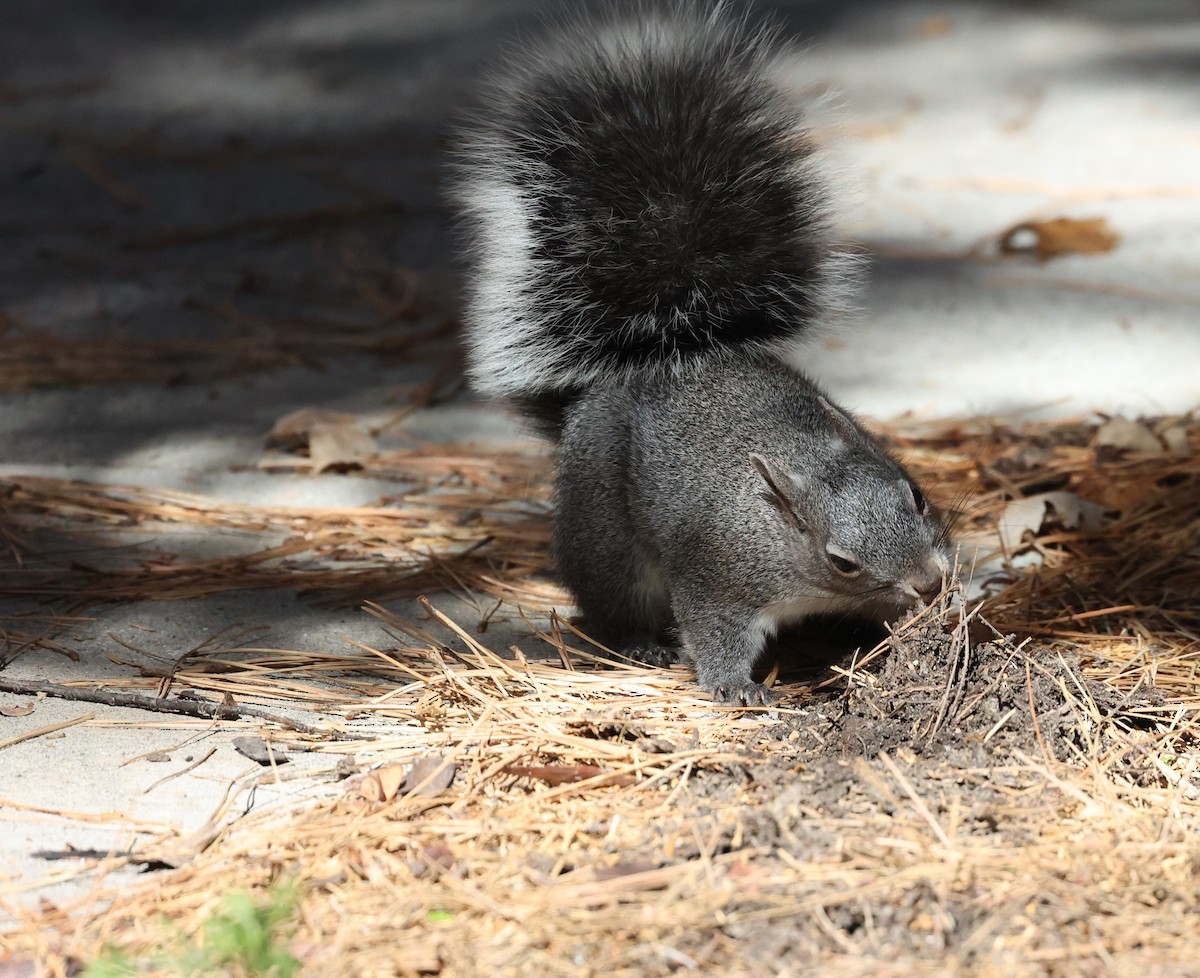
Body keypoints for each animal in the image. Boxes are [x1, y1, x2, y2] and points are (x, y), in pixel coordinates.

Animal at [451, 5, 953, 705]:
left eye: (918, 496)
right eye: (842, 561)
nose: (931, 580)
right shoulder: (718, 575)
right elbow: (716, 633)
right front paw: (736, 687)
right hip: (606, 538)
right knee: (611, 602)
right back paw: (638, 643)